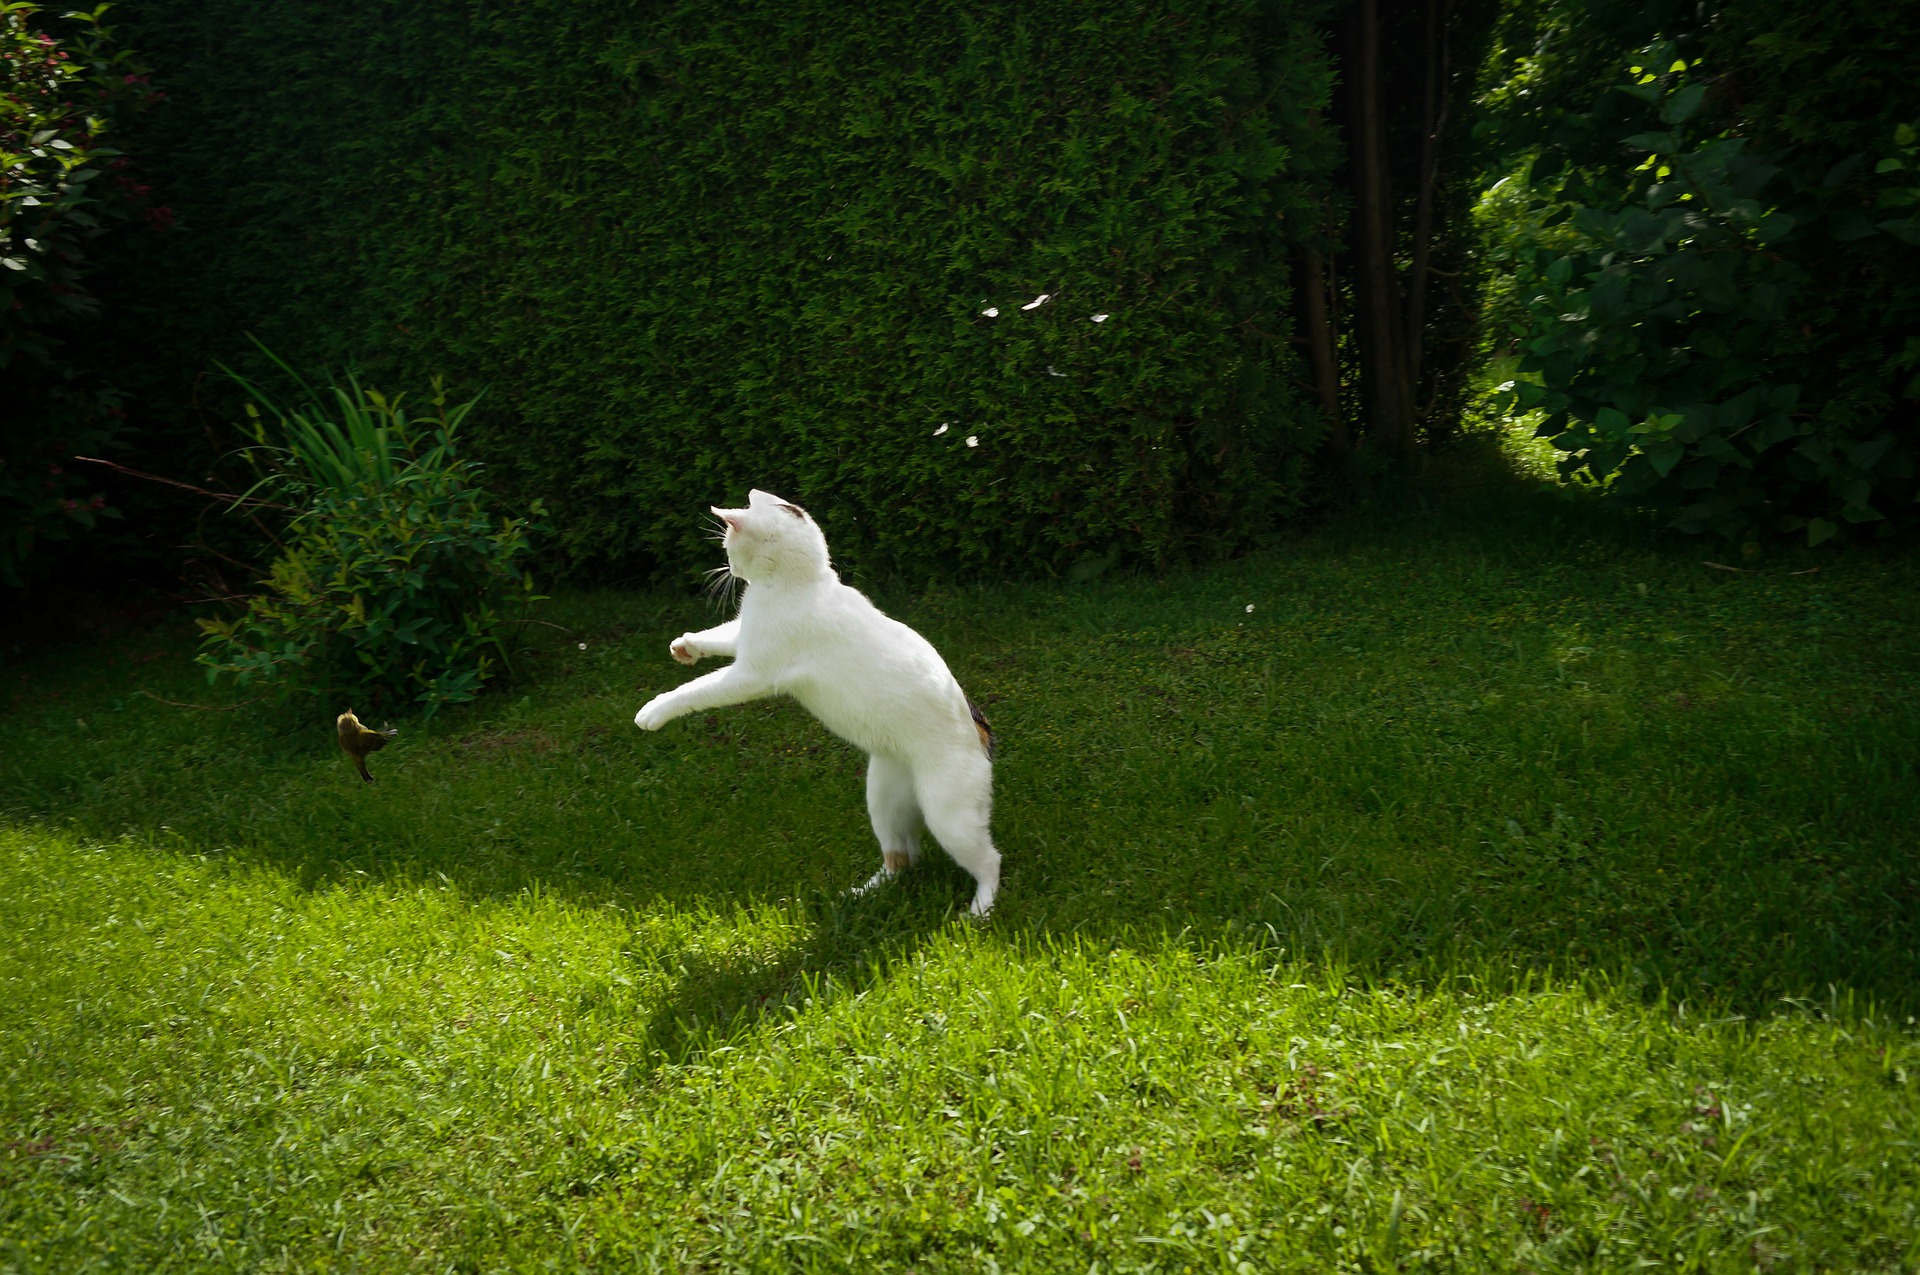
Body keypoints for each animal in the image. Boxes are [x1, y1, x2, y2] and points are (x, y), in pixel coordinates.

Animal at [645, 487, 1006, 917]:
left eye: (727, 544)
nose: (728, 567)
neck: (804, 583)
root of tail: (978, 726)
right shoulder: (746, 638)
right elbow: (721, 634)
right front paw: (686, 646)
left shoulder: (752, 673)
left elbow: (695, 690)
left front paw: (653, 710)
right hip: (883, 800)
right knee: (902, 856)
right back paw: (865, 894)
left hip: (949, 817)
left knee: (989, 861)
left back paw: (979, 910)